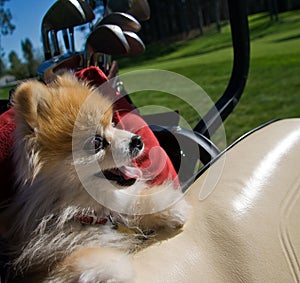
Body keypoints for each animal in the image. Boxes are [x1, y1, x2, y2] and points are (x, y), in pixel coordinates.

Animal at [0, 74, 188, 283]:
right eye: (97, 142)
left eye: (113, 124)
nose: (138, 140)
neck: (89, 213)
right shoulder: (39, 267)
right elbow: (80, 260)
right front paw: (116, 269)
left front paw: (169, 206)